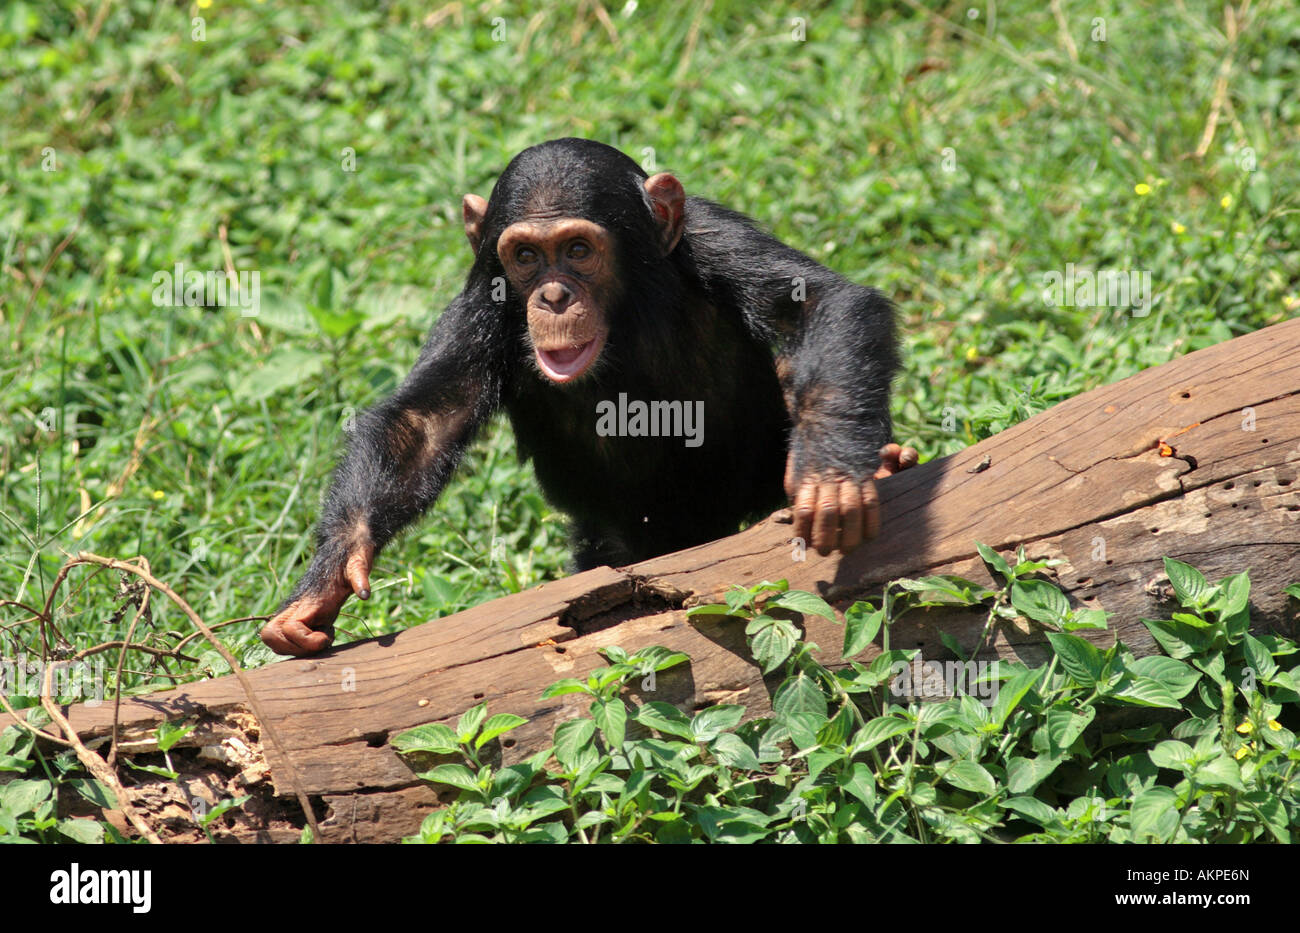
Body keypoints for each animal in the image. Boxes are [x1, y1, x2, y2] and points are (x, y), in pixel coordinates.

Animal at [258, 137, 915, 657]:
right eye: (525, 255)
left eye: (577, 250)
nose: (551, 296)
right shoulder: (480, 302)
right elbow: (424, 421)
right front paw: (328, 577)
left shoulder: (713, 238)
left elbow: (816, 303)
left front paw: (830, 477)